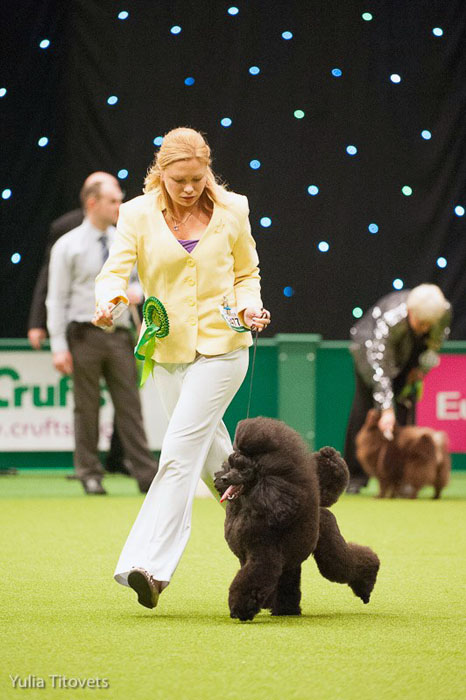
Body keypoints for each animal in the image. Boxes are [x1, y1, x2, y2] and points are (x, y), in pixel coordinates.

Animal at [213, 418, 380, 620]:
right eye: (230, 465)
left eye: (244, 469)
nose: (223, 479)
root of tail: (320, 506)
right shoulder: (248, 557)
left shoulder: (263, 557)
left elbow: (249, 580)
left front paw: (240, 610)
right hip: (292, 561)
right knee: (289, 581)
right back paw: (287, 611)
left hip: (327, 543)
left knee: (343, 564)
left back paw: (367, 583)